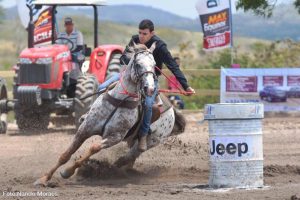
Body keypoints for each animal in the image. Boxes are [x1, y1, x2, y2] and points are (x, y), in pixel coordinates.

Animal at [34, 43, 185, 187]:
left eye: (154, 65)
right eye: (138, 64)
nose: (150, 89)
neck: (120, 101)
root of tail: (172, 110)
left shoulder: (114, 137)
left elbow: (93, 148)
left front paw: (67, 171)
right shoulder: (85, 129)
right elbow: (65, 155)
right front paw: (44, 178)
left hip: (152, 141)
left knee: (130, 156)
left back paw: (115, 169)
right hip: (132, 139)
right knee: (130, 158)